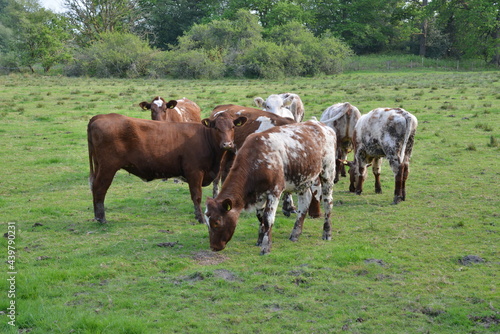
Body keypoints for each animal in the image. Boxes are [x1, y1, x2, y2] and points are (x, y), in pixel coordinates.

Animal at [89, 112, 248, 224]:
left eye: (233, 127)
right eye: (216, 128)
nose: (227, 144)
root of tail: (100, 116)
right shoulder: (194, 172)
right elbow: (196, 196)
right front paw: (200, 219)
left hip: (99, 166)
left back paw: (97, 216)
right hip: (107, 167)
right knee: (99, 188)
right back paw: (101, 218)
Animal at [203, 121, 336, 254]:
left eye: (217, 222)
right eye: (207, 223)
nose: (214, 247)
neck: (257, 159)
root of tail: (321, 125)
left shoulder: (275, 191)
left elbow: (268, 218)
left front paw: (266, 247)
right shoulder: (259, 195)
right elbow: (260, 217)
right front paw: (260, 239)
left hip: (328, 172)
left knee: (328, 202)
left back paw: (327, 232)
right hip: (303, 178)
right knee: (305, 202)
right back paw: (295, 233)